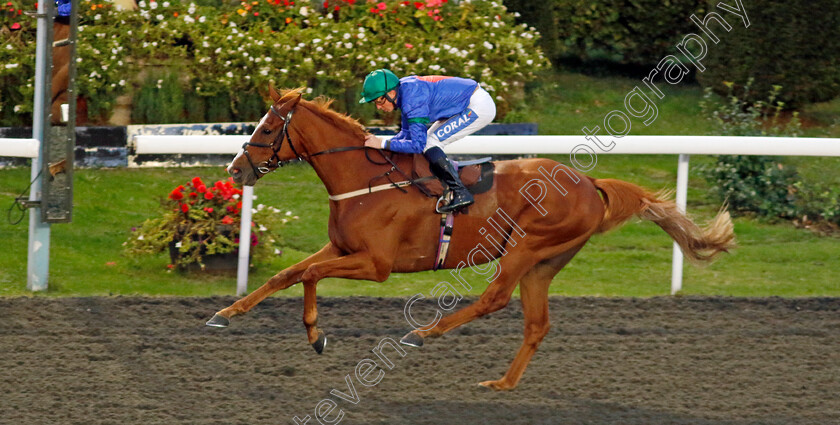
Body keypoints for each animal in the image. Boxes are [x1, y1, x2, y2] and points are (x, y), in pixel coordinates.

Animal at [208, 88, 736, 390]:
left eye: (269, 128)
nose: (235, 170)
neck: (363, 178)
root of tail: (590, 183)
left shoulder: (375, 264)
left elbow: (311, 275)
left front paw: (316, 335)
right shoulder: (343, 248)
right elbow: (285, 275)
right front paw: (224, 314)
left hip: (525, 247)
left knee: (493, 300)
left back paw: (424, 334)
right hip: (544, 262)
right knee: (537, 324)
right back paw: (501, 385)